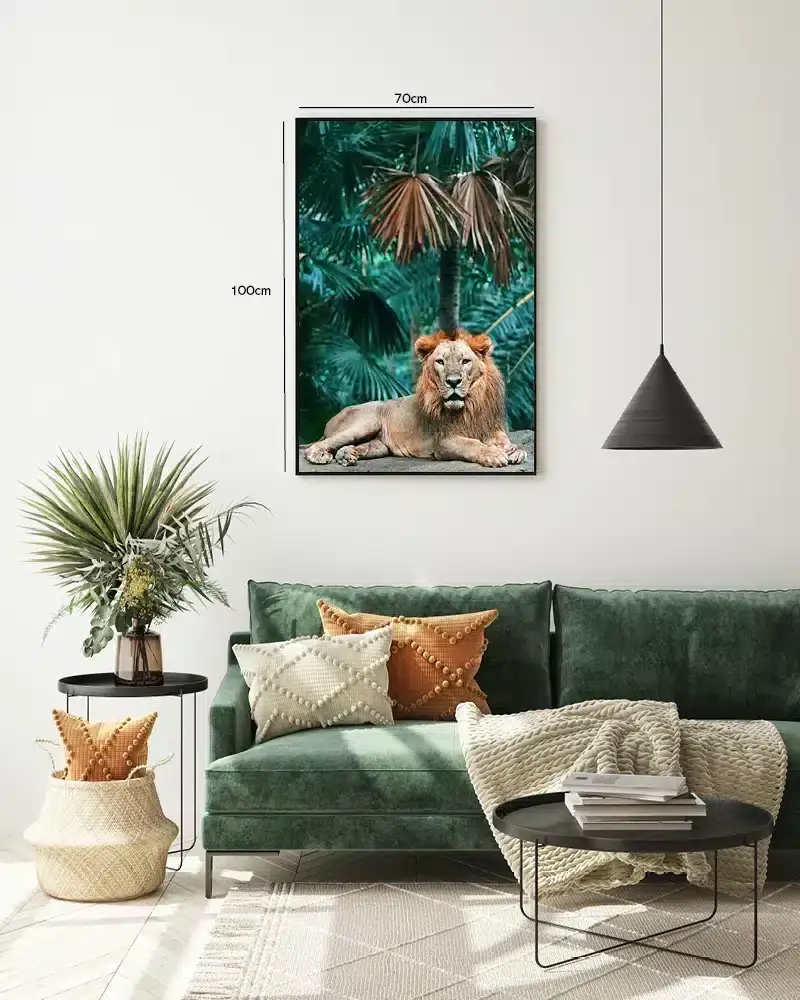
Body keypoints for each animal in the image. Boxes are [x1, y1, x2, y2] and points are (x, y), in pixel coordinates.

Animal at [303, 328, 527, 469]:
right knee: (316, 446)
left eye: (465, 361)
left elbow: (503, 439)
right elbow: (472, 444)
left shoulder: (488, 426)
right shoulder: (443, 441)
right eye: (440, 362)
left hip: (379, 446)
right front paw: (494, 454)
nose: (453, 382)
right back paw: (319, 455)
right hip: (364, 422)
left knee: (348, 447)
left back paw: (346, 455)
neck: (471, 403)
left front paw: (513, 450)